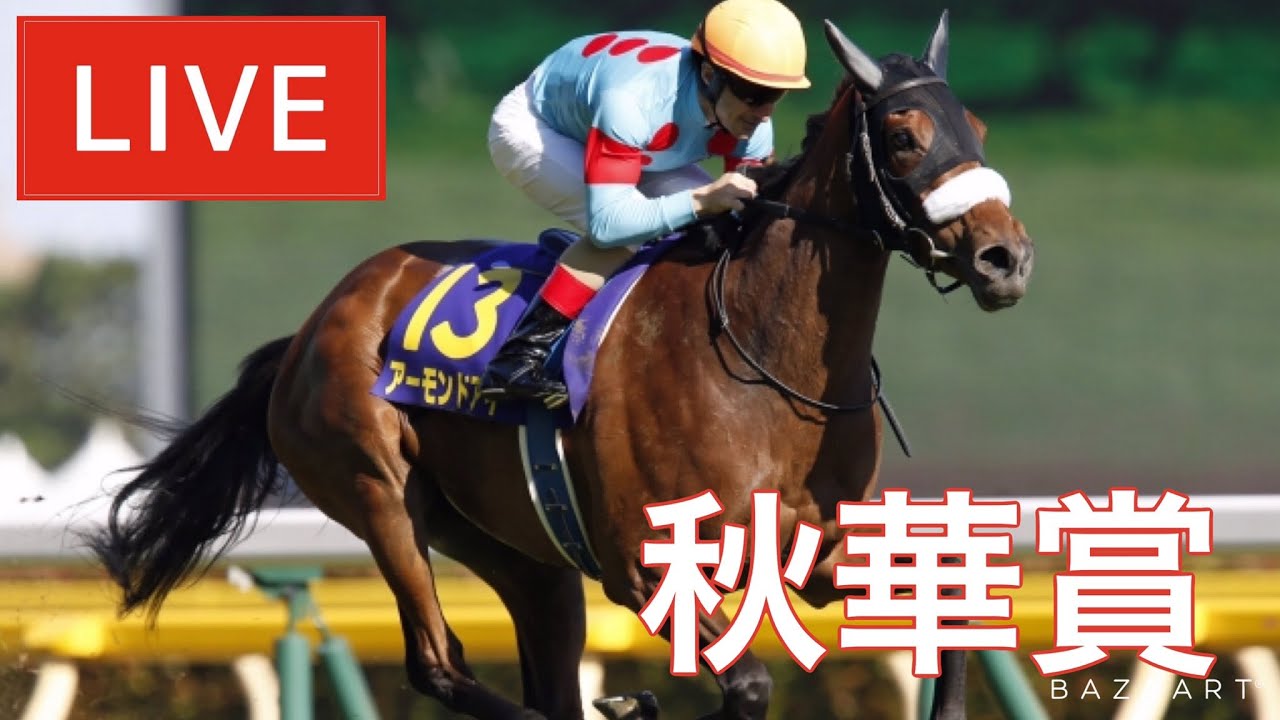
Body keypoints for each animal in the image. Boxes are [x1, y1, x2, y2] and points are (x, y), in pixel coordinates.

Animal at [87, 13, 1033, 720]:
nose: (1004, 258)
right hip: (377, 491)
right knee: (439, 663)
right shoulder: (647, 566)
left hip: (513, 548)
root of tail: (315, 324)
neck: (763, 365)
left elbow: (950, 613)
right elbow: (752, 683)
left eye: (978, 129)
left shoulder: (812, 546)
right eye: (904, 136)